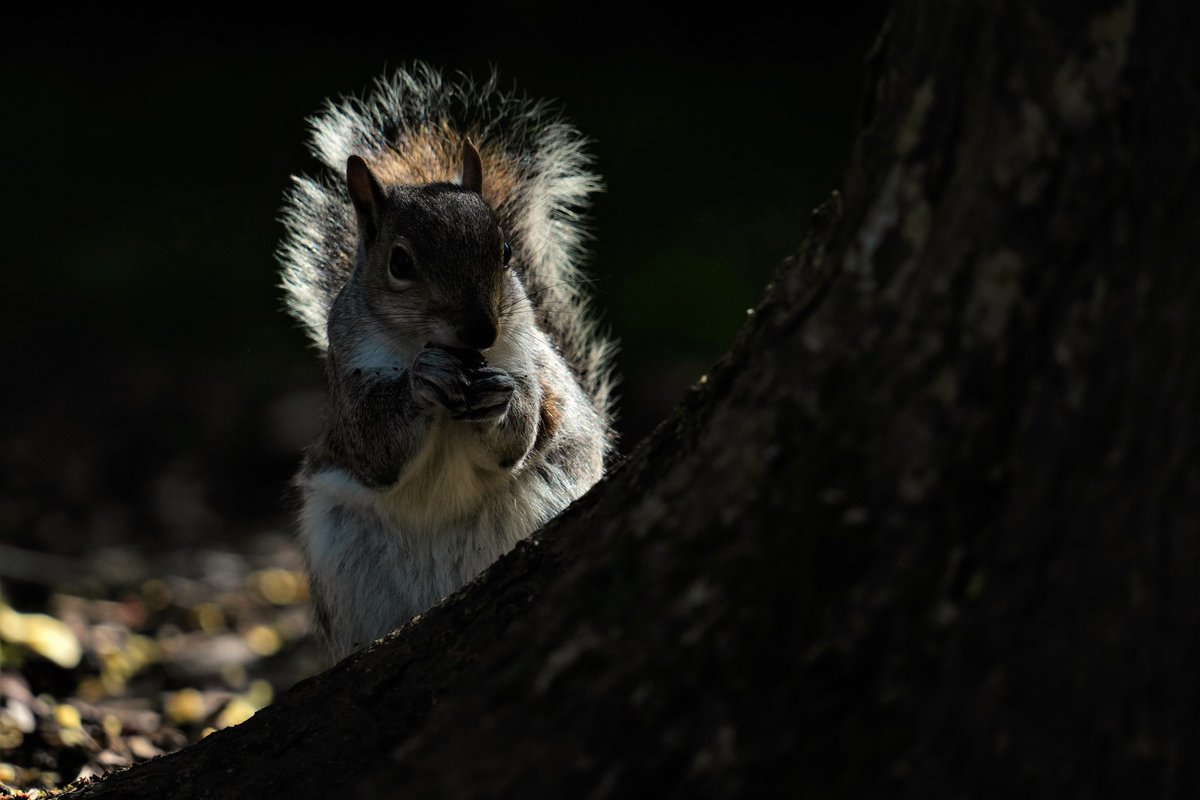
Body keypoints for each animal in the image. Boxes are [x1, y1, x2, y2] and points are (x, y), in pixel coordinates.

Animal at [278, 65, 616, 661]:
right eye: (400, 263)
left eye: (504, 253)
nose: (481, 331)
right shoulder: (348, 378)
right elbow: (375, 446)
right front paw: (422, 382)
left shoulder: (529, 360)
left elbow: (522, 433)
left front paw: (503, 399)